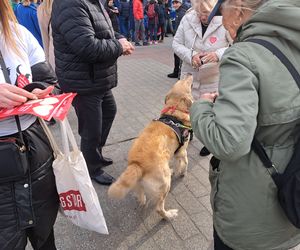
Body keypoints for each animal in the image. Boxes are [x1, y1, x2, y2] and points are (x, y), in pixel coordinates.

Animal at [107, 75, 192, 220]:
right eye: (186, 82)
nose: (189, 74)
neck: (174, 111)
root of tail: (137, 164)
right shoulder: (182, 151)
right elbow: (184, 163)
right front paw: (182, 173)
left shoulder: (175, 153)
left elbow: (177, 164)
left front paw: (176, 170)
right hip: (165, 185)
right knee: (159, 208)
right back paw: (169, 215)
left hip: (139, 186)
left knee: (142, 199)